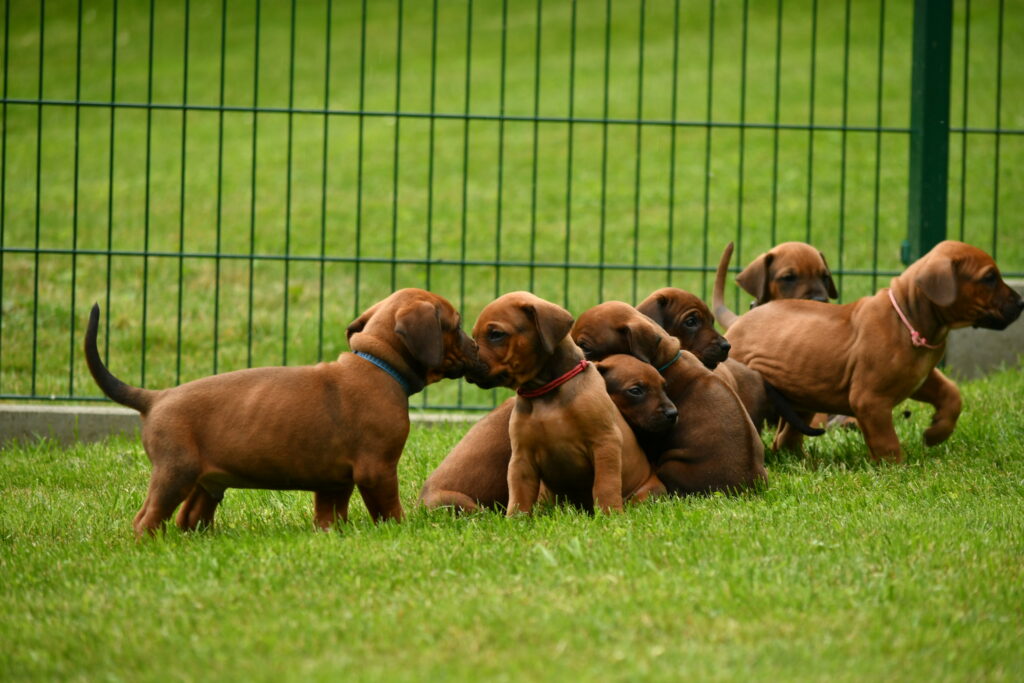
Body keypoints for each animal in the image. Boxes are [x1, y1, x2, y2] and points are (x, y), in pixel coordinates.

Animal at [84, 288, 479, 537]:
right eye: (456, 325)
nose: (476, 345)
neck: (378, 364)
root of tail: (155, 398)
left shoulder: (335, 480)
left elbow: (330, 512)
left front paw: (332, 535)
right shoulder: (377, 470)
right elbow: (388, 509)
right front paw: (400, 530)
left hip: (205, 481)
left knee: (189, 516)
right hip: (174, 472)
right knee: (147, 519)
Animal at [463, 292, 666, 514]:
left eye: (496, 334)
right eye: (474, 335)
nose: (467, 364)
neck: (545, 393)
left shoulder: (605, 443)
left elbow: (605, 484)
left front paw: (608, 513)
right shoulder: (521, 457)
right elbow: (519, 493)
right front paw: (516, 518)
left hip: (650, 490)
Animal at [725, 240, 1023, 462]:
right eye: (989, 278)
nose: (1021, 302)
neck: (908, 319)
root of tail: (735, 325)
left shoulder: (920, 378)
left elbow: (952, 394)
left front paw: (937, 432)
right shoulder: (870, 400)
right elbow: (886, 442)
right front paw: (898, 470)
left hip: (802, 400)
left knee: (785, 438)